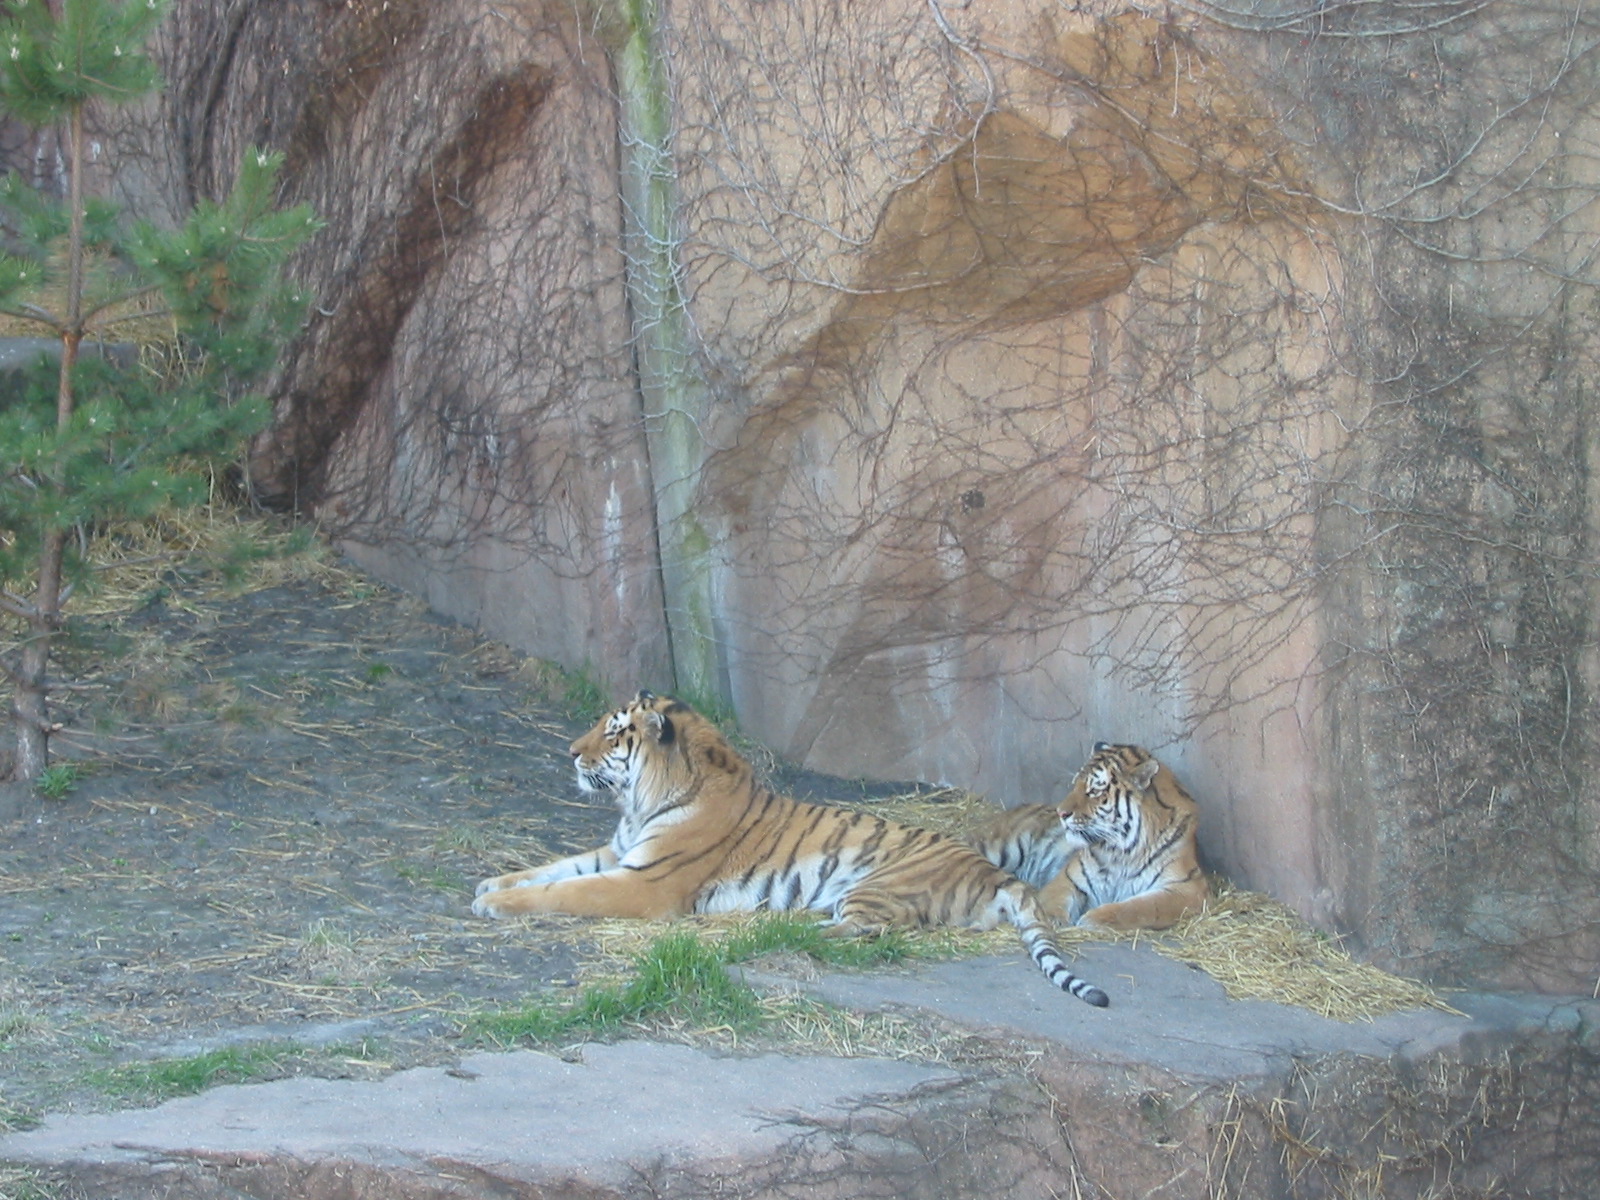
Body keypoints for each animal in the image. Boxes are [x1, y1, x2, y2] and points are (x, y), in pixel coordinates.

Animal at [473, 691, 1110, 1007]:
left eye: (612, 732)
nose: (569, 753)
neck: (643, 802)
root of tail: (997, 874)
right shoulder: (619, 855)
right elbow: (552, 868)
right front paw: (490, 885)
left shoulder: (644, 882)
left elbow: (566, 890)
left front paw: (496, 905)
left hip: (875, 886)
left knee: (864, 933)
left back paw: (769, 936)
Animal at [965, 741, 1207, 932]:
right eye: (1075, 784)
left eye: (1094, 791)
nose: (1061, 813)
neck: (1123, 850)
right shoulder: (1069, 878)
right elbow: (1054, 899)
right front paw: (1052, 919)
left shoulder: (1187, 889)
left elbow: (1139, 908)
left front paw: (1094, 918)